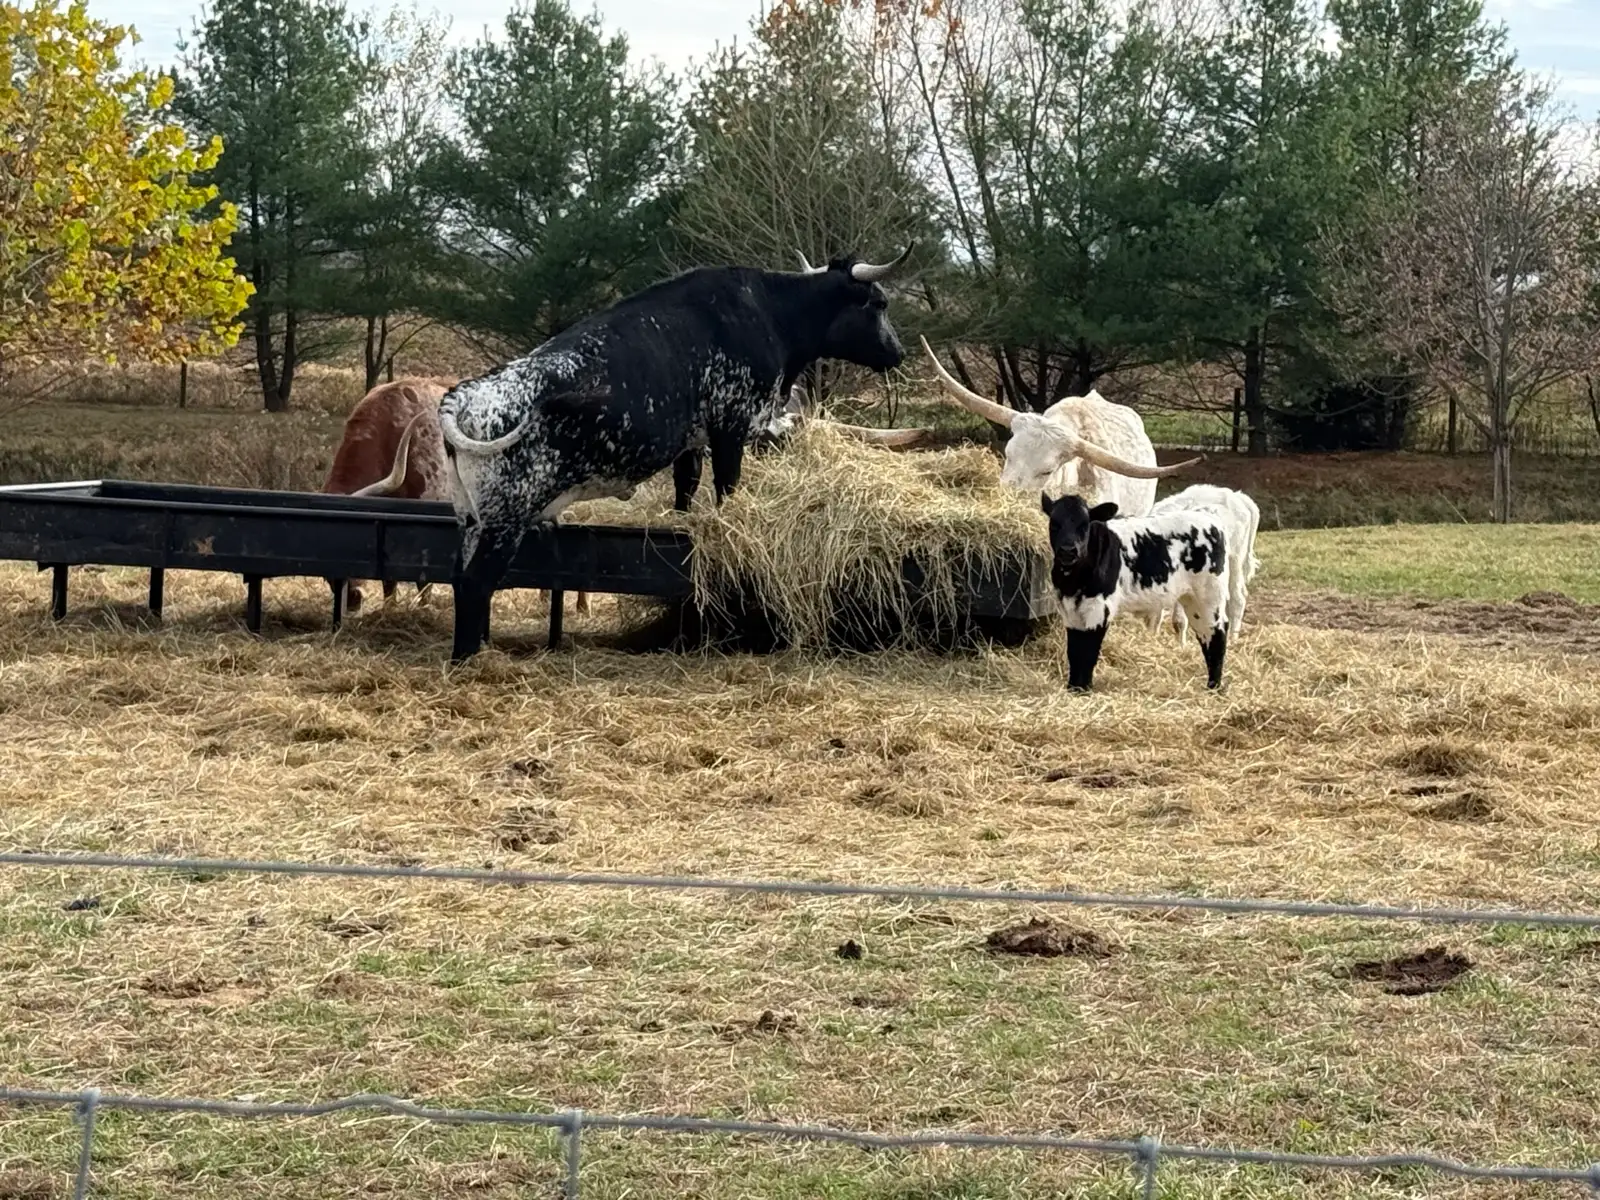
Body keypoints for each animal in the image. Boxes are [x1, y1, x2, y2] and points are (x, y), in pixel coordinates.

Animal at [322, 377, 590, 619]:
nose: (352, 601)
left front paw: (424, 609)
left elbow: (424, 579)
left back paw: (580, 605)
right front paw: (390, 609)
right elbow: (389, 580)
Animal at [437, 247, 918, 662]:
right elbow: (727, 489)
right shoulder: (731, 428)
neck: (769, 313)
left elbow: (685, 491)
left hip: (470, 519)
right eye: (878, 303)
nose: (898, 353)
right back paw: (471, 661)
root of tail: (464, 394)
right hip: (506, 519)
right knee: (477, 582)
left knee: (461, 578)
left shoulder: (692, 443)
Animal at [1040, 492, 1232, 692]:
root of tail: (1210, 518)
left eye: (1084, 525)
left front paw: (1084, 689)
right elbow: (1075, 651)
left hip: (1210, 595)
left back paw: (1214, 686)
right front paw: (1073, 687)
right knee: (1205, 634)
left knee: (1218, 631)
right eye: (1054, 523)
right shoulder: (1070, 611)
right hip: (1191, 599)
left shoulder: (1100, 609)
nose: (1068, 551)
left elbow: (1088, 651)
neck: (1073, 581)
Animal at [1145, 484, 1261, 644]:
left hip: (1235, 558)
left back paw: (1232, 639)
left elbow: (1179, 620)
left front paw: (1181, 646)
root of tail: (1238, 496)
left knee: (1237, 599)